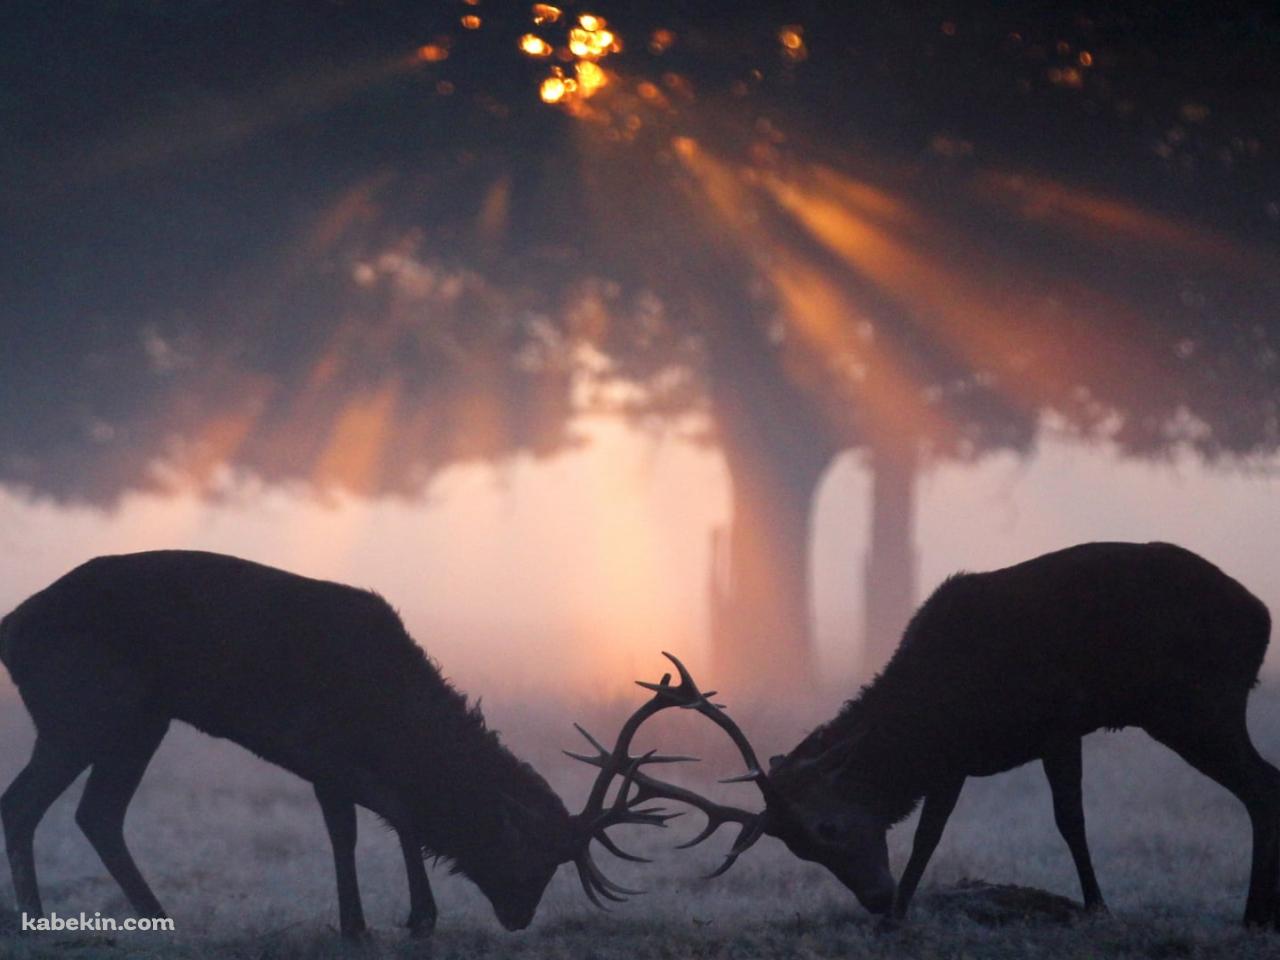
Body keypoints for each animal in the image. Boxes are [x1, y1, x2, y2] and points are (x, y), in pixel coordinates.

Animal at [0, 550, 697, 937]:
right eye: (533, 854)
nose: (520, 918)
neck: (390, 717)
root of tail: (10, 631)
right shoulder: (323, 748)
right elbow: (380, 823)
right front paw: (395, 921)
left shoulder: (336, 764)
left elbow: (373, 825)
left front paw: (382, 921)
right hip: (83, 709)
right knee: (26, 803)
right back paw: (36, 921)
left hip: (140, 719)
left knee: (96, 813)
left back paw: (157, 919)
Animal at [595, 544, 1280, 928]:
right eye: (800, 851)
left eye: (829, 827)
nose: (875, 897)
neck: (933, 711)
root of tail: (1261, 617)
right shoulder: (999, 747)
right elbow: (999, 826)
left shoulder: (1028, 732)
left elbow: (1032, 823)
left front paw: (1096, 907)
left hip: (1196, 705)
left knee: (1262, 785)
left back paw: (1253, 917)